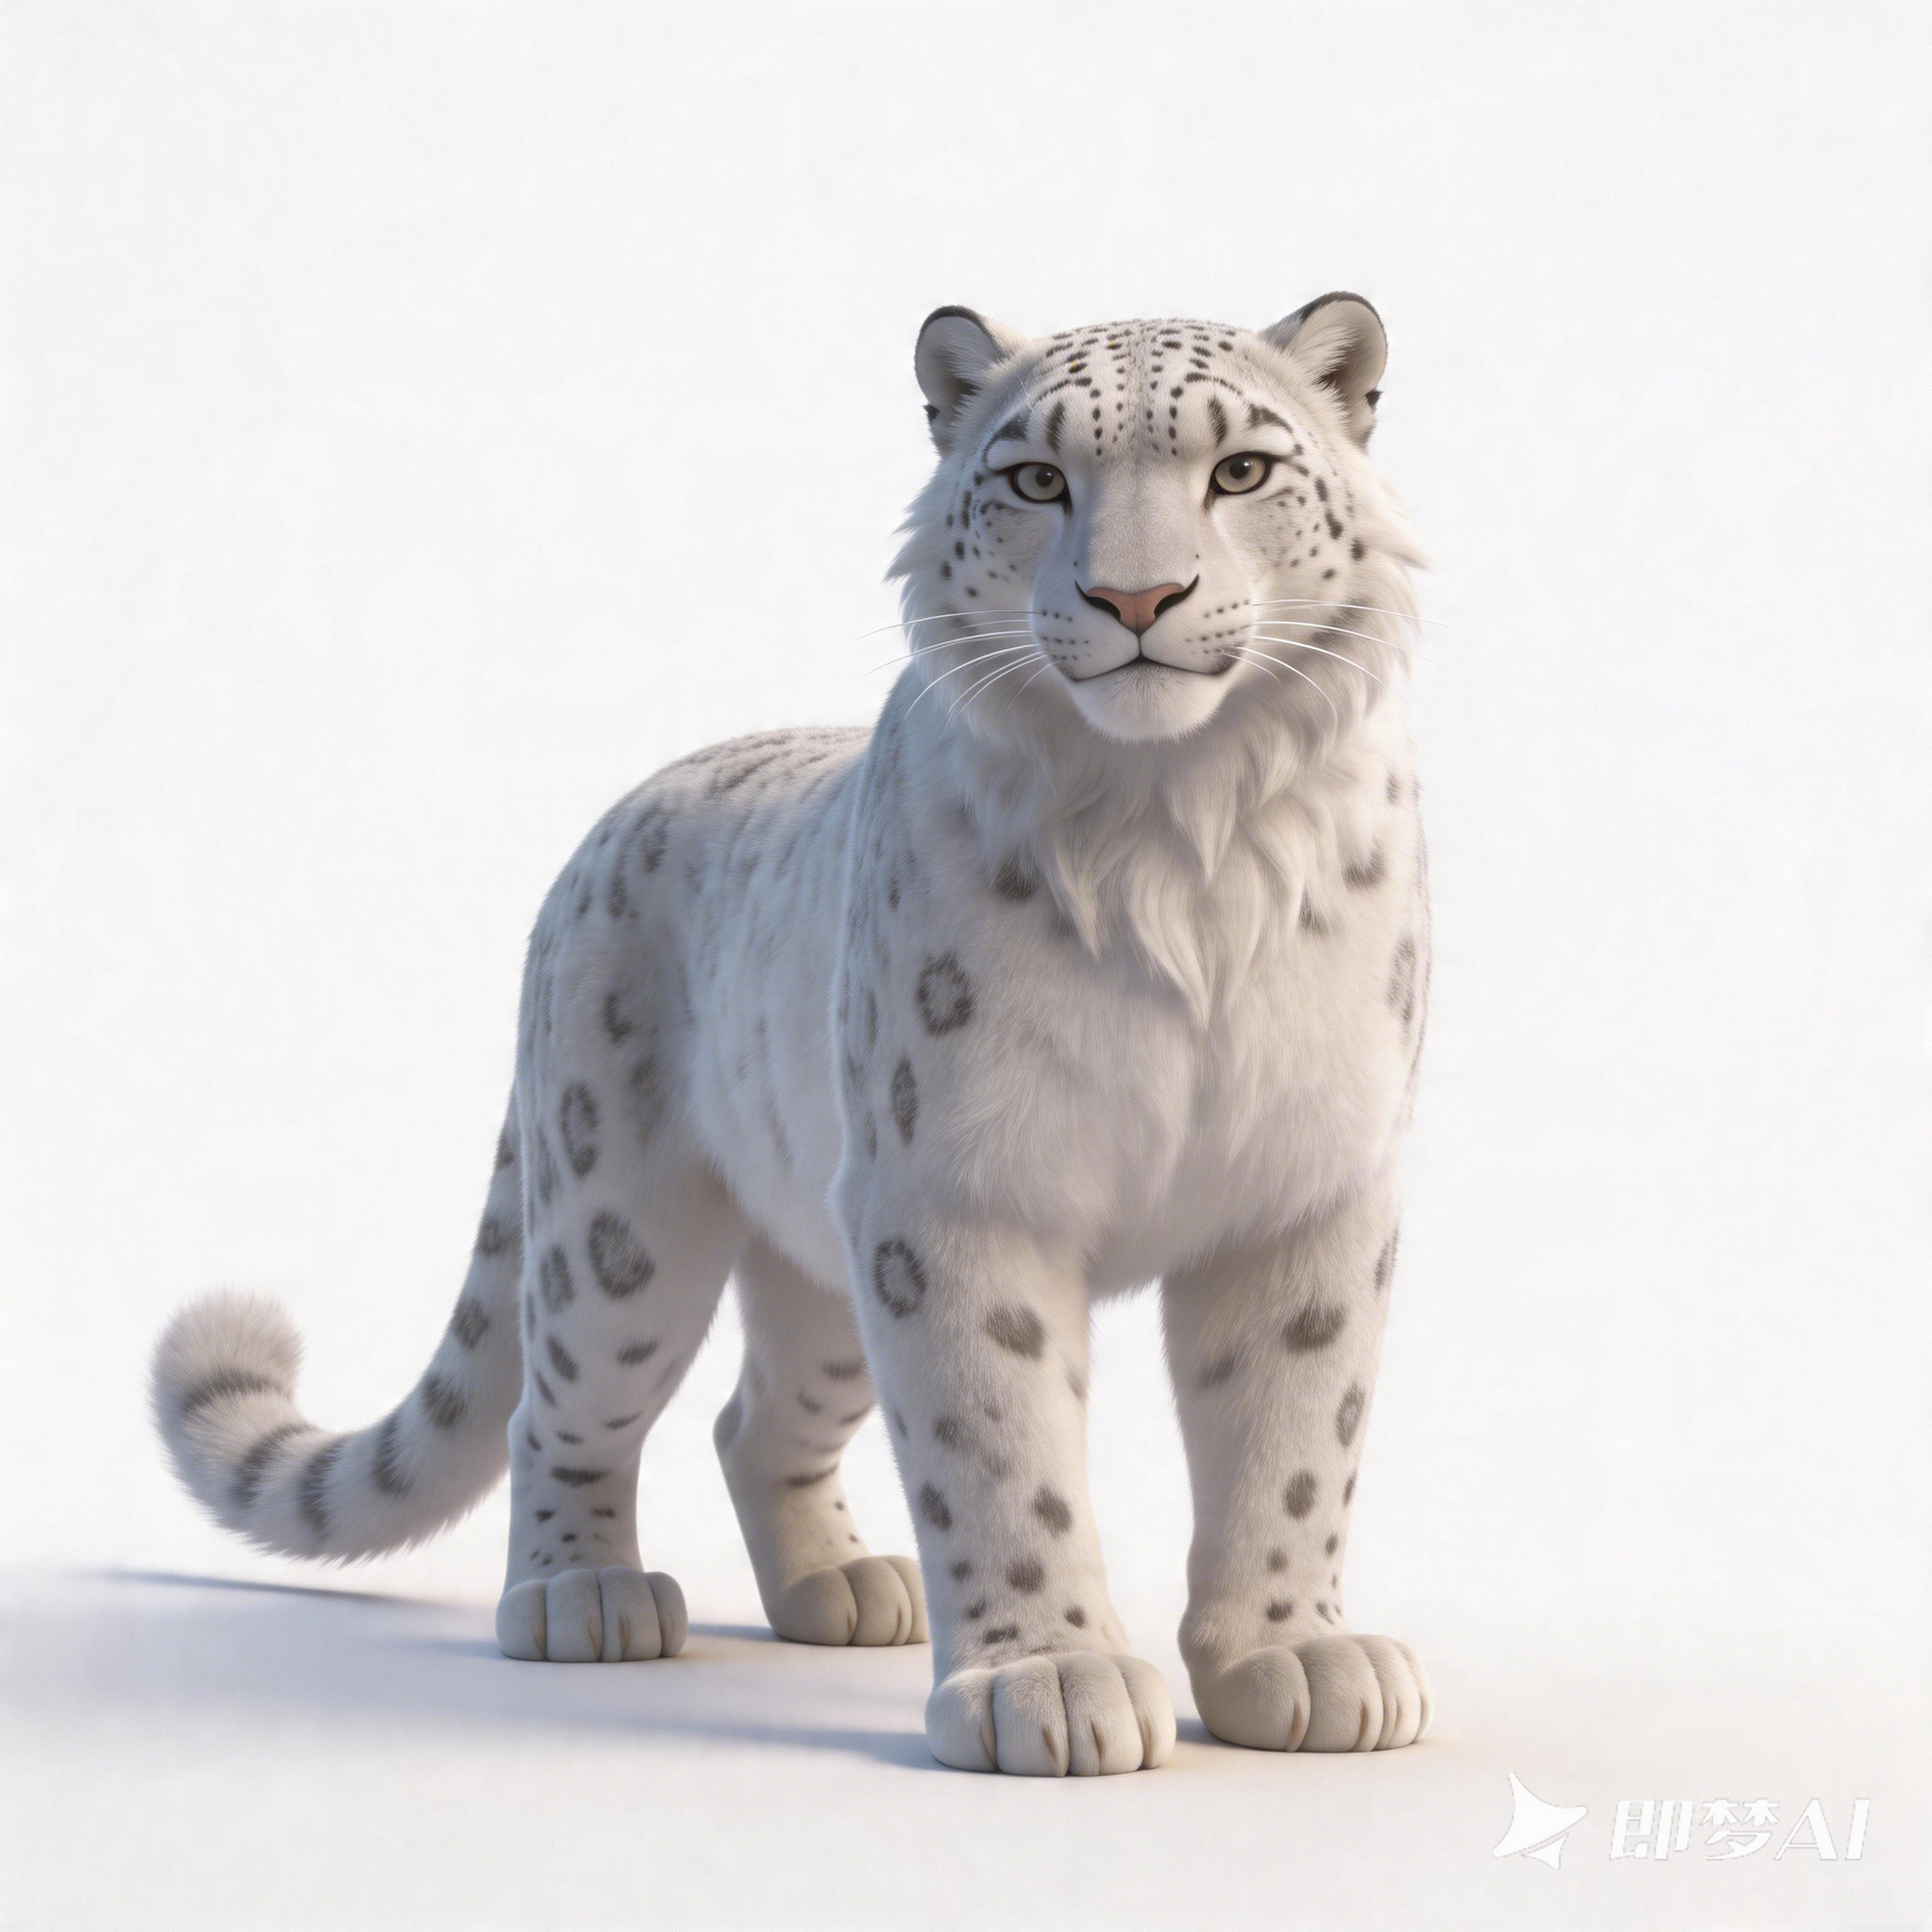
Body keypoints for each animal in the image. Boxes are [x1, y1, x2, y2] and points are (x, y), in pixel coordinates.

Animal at [154, 293, 1433, 1775]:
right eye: (1035, 478)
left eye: (1240, 470)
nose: (1135, 598)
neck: (1175, 814)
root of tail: (603, 831)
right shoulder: (955, 1194)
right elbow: (998, 1446)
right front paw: (1050, 1681)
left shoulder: (1304, 1189)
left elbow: (1293, 1441)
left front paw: (1294, 1658)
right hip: (621, 1229)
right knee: (559, 1402)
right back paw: (584, 1595)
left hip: (827, 1266)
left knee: (754, 1417)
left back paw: (842, 1587)